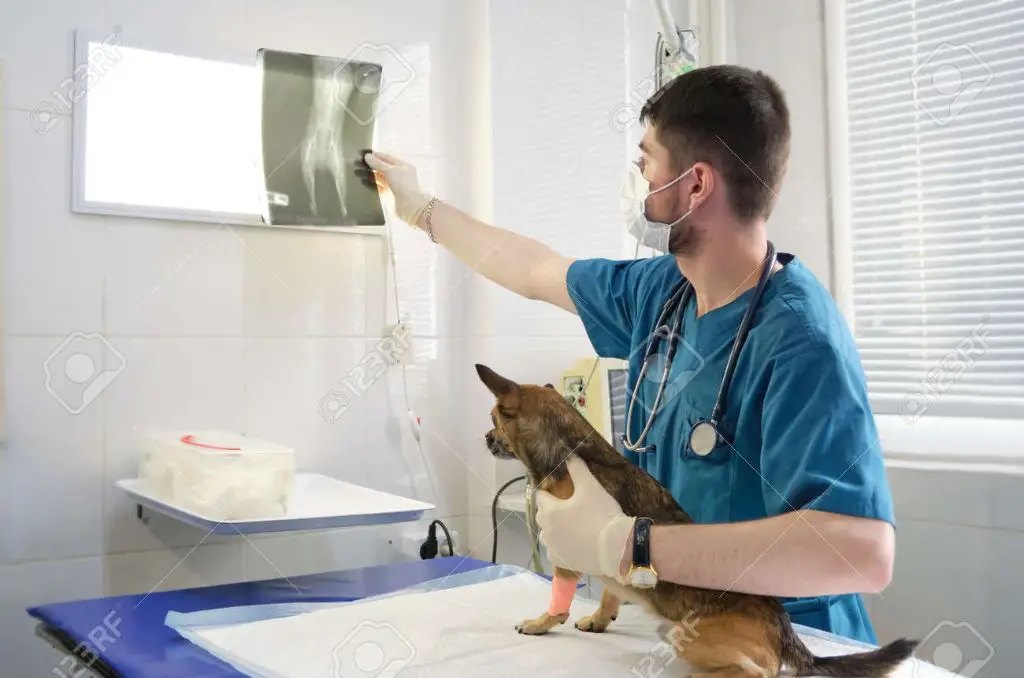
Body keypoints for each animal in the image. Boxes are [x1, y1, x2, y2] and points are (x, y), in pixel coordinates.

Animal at [475, 366, 917, 678]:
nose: (484, 437)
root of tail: (783, 627)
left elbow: (561, 598)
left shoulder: (567, 552)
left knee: (762, 671)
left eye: (495, 418)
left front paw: (542, 623)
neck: (570, 446)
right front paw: (599, 619)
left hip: (685, 637)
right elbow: (610, 593)